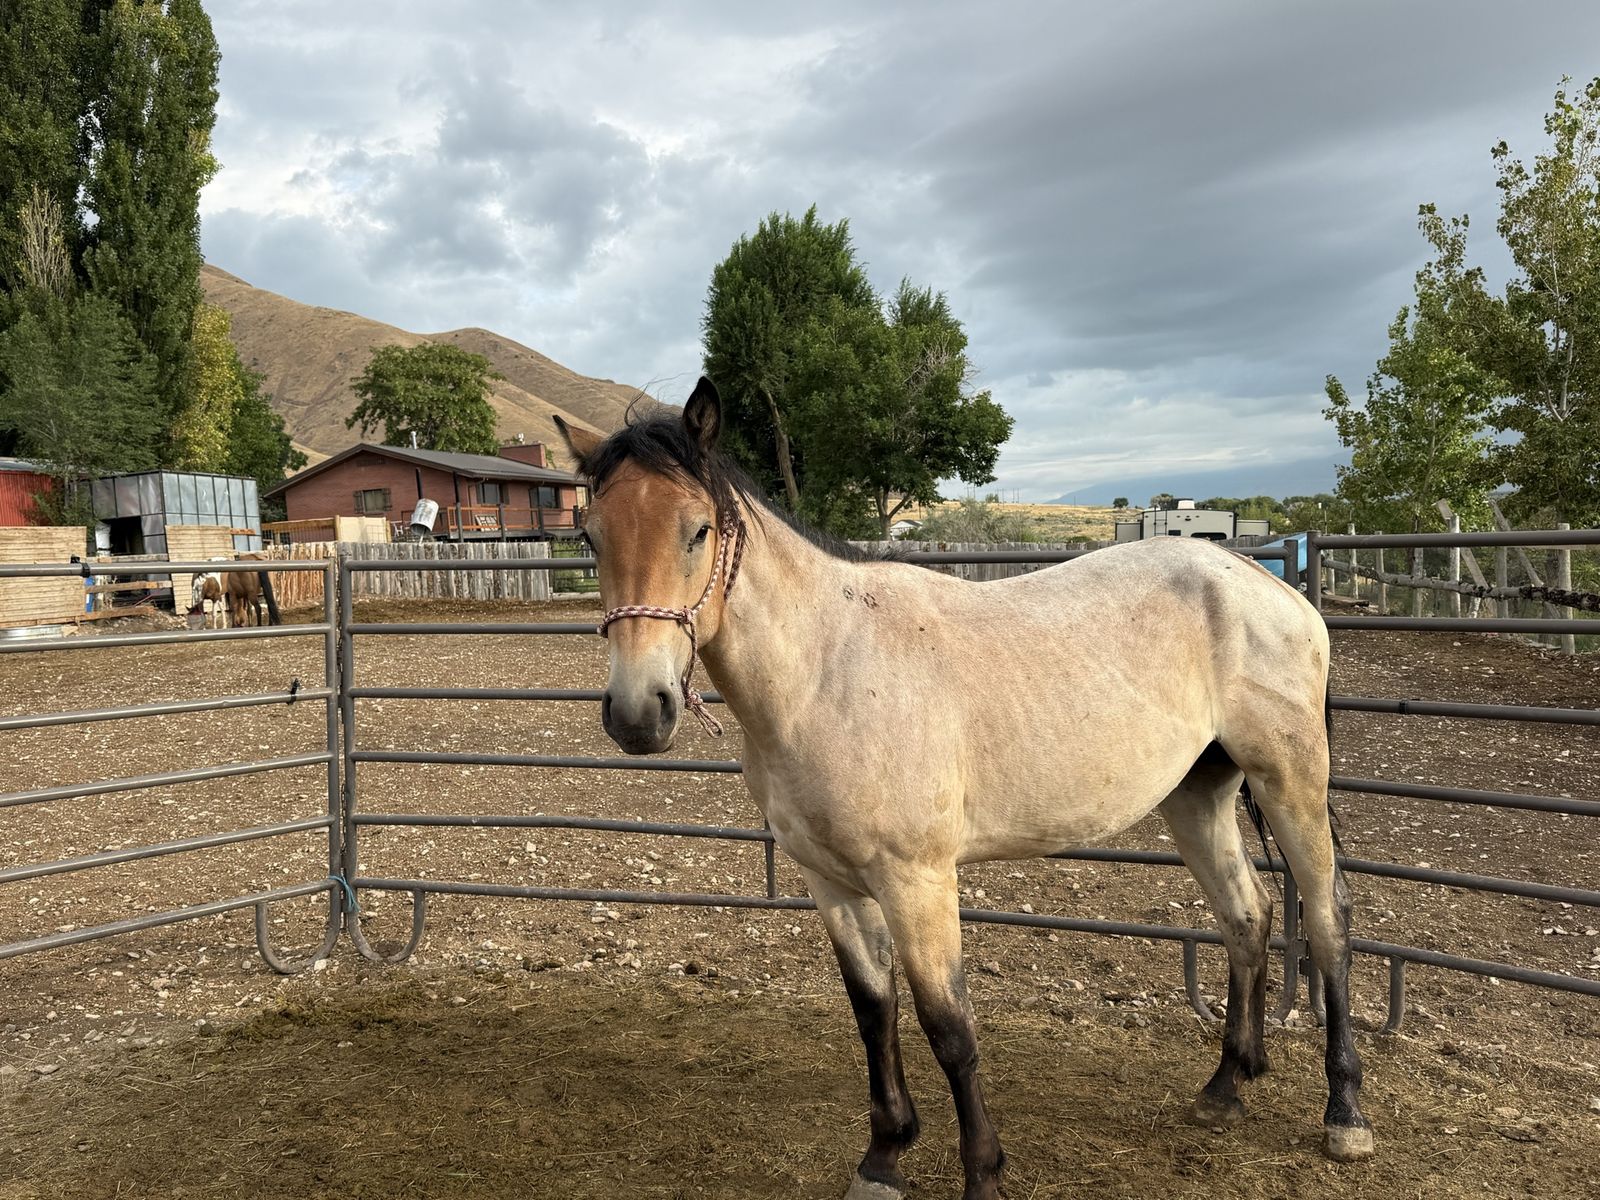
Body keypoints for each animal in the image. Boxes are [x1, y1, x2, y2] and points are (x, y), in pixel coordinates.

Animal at [554, 379, 1373, 1200]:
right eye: (590, 536)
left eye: (696, 531)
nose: (638, 712)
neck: (827, 670)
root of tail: (1264, 584)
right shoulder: (831, 883)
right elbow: (873, 1010)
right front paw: (883, 1157)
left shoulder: (917, 881)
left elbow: (948, 1028)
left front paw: (981, 1172)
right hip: (1197, 796)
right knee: (1247, 916)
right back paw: (1225, 1086)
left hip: (1290, 780)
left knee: (1327, 918)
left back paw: (1344, 1113)